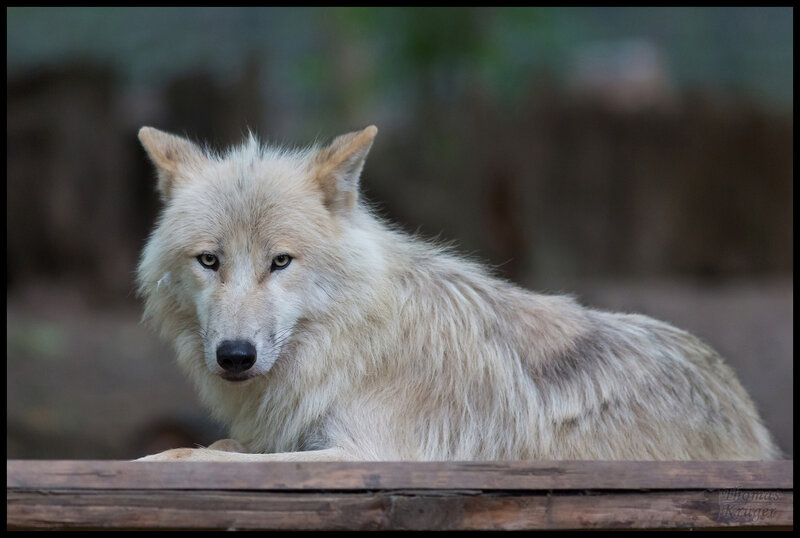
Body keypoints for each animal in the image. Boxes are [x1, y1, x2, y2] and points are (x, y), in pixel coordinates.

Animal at [136, 125, 778, 462]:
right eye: (210, 260)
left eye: (280, 261)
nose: (234, 356)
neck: (356, 343)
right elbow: (214, 448)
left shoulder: (362, 456)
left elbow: (195, 456)